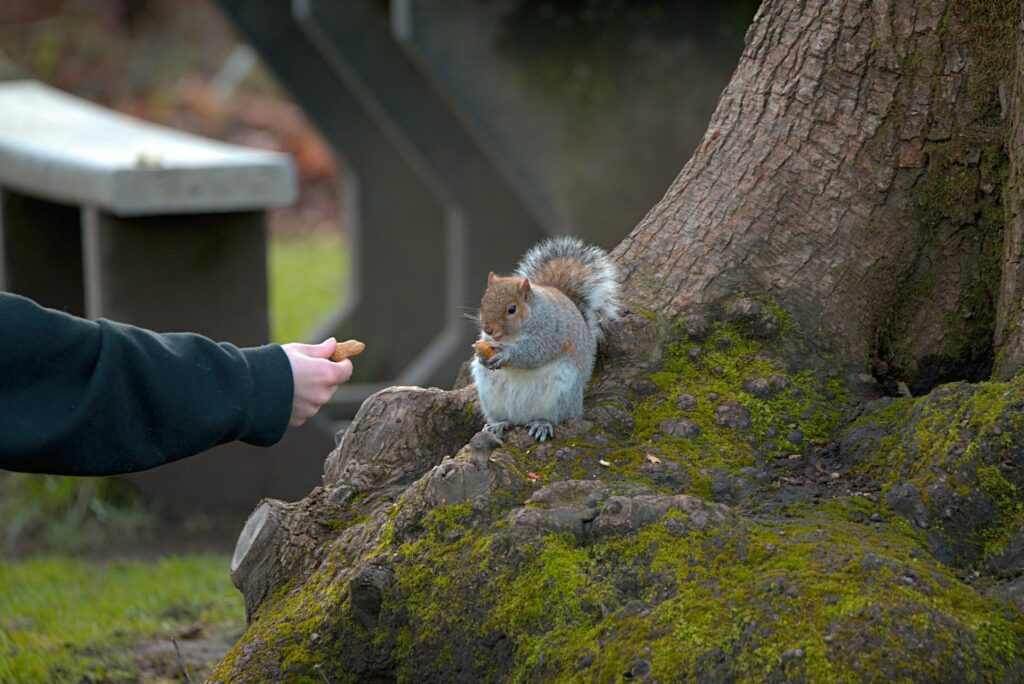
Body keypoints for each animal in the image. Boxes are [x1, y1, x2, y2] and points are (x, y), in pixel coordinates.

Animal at [468, 236, 618, 444]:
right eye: (484, 302)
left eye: (512, 309)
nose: (488, 328)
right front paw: (481, 356)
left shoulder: (550, 332)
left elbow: (534, 352)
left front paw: (505, 354)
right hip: (489, 395)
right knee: (505, 418)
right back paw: (498, 424)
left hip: (561, 393)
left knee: (558, 417)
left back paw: (542, 424)